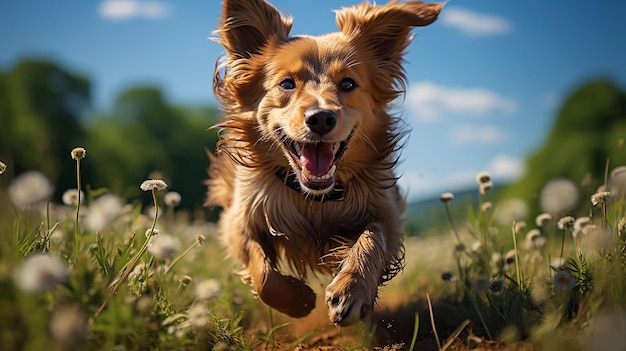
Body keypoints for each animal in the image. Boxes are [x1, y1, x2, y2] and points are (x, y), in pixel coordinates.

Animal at [206, 0, 438, 328]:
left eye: (348, 83)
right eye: (287, 83)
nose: (321, 118)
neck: (313, 200)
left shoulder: (386, 214)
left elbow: (372, 238)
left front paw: (352, 289)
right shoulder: (238, 221)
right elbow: (262, 271)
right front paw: (297, 300)